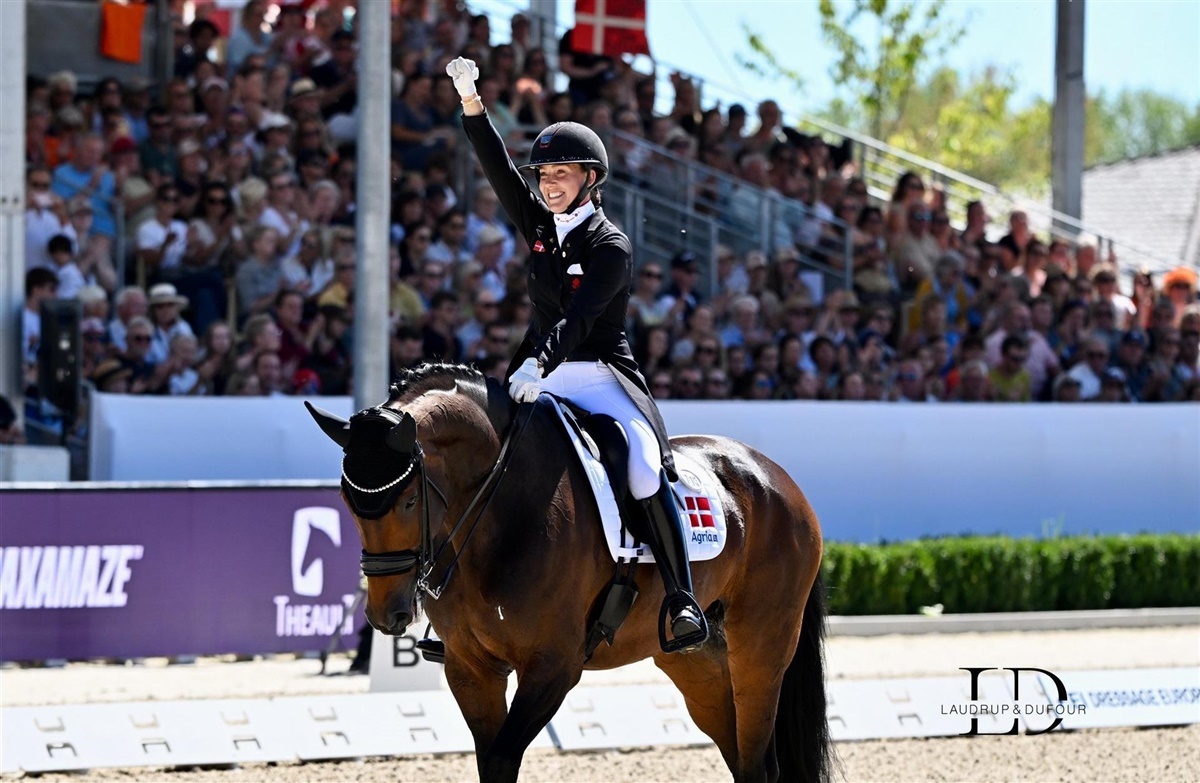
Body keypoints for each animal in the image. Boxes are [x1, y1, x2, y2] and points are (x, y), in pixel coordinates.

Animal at [307, 363, 834, 783]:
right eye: (347, 501)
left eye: (410, 501)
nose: (387, 615)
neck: (500, 504)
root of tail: (774, 476)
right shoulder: (470, 667)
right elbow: (488, 761)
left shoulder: (553, 666)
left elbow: (501, 759)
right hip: (697, 662)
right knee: (741, 759)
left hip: (760, 650)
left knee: (757, 763)